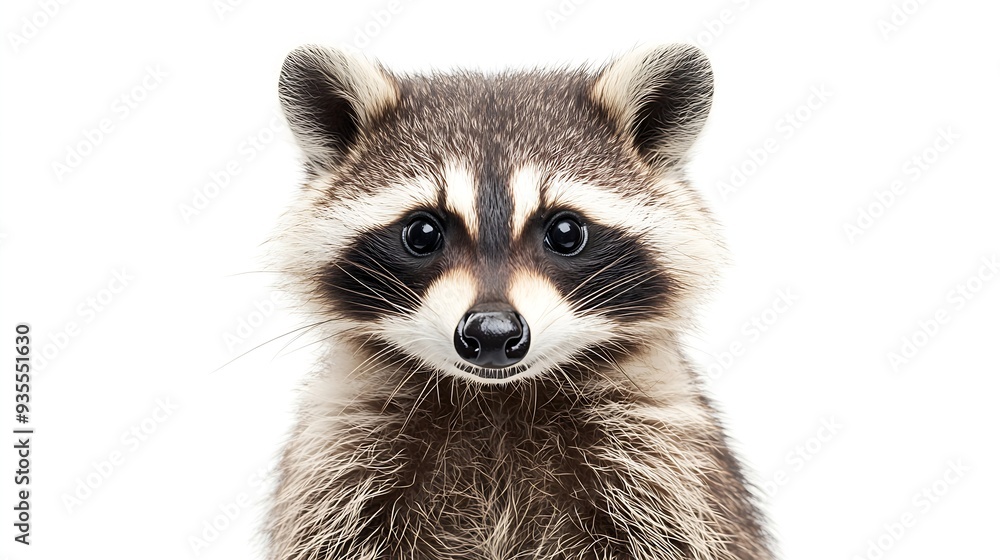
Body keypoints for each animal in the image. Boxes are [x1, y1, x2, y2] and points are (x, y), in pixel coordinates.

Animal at [267, 44, 772, 560]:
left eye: (566, 232)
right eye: (422, 233)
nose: (492, 333)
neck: (495, 401)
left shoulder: (666, 463)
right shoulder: (341, 457)